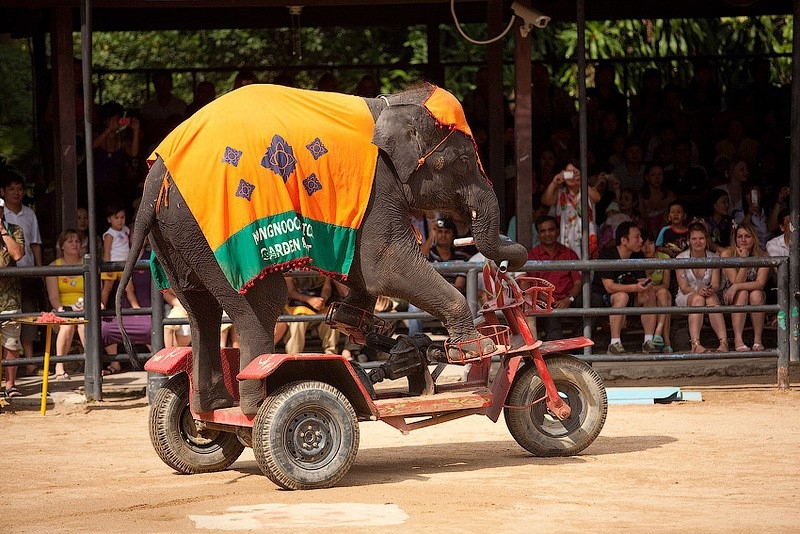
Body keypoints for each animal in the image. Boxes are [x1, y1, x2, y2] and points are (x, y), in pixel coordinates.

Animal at [119, 81, 528, 416]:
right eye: (465, 160)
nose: (515, 258)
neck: (389, 105)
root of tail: (155, 178)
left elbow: (368, 267)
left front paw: (349, 321)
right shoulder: (379, 187)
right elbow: (386, 264)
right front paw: (478, 349)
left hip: (175, 236)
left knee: (198, 306)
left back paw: (212, 407)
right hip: (213, 232)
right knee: (261, 303)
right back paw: (254, 406)